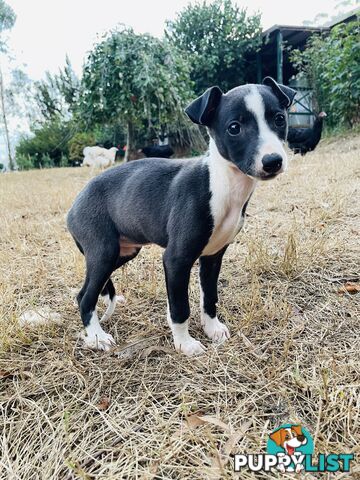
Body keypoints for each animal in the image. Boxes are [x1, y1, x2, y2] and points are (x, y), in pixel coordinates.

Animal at [67, 77, 296, 356]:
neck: (222, 183)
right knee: (85, 297)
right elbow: (179, 307)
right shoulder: (176, 259)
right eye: (234, 128)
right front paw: (184, 344)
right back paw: (98, 337)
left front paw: (212, 329)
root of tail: (75, 203)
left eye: (279, 119)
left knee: (85, 292)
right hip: (103, 252)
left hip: (124, 252)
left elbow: (209, 297)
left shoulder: (213, 256)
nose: (273, 161)